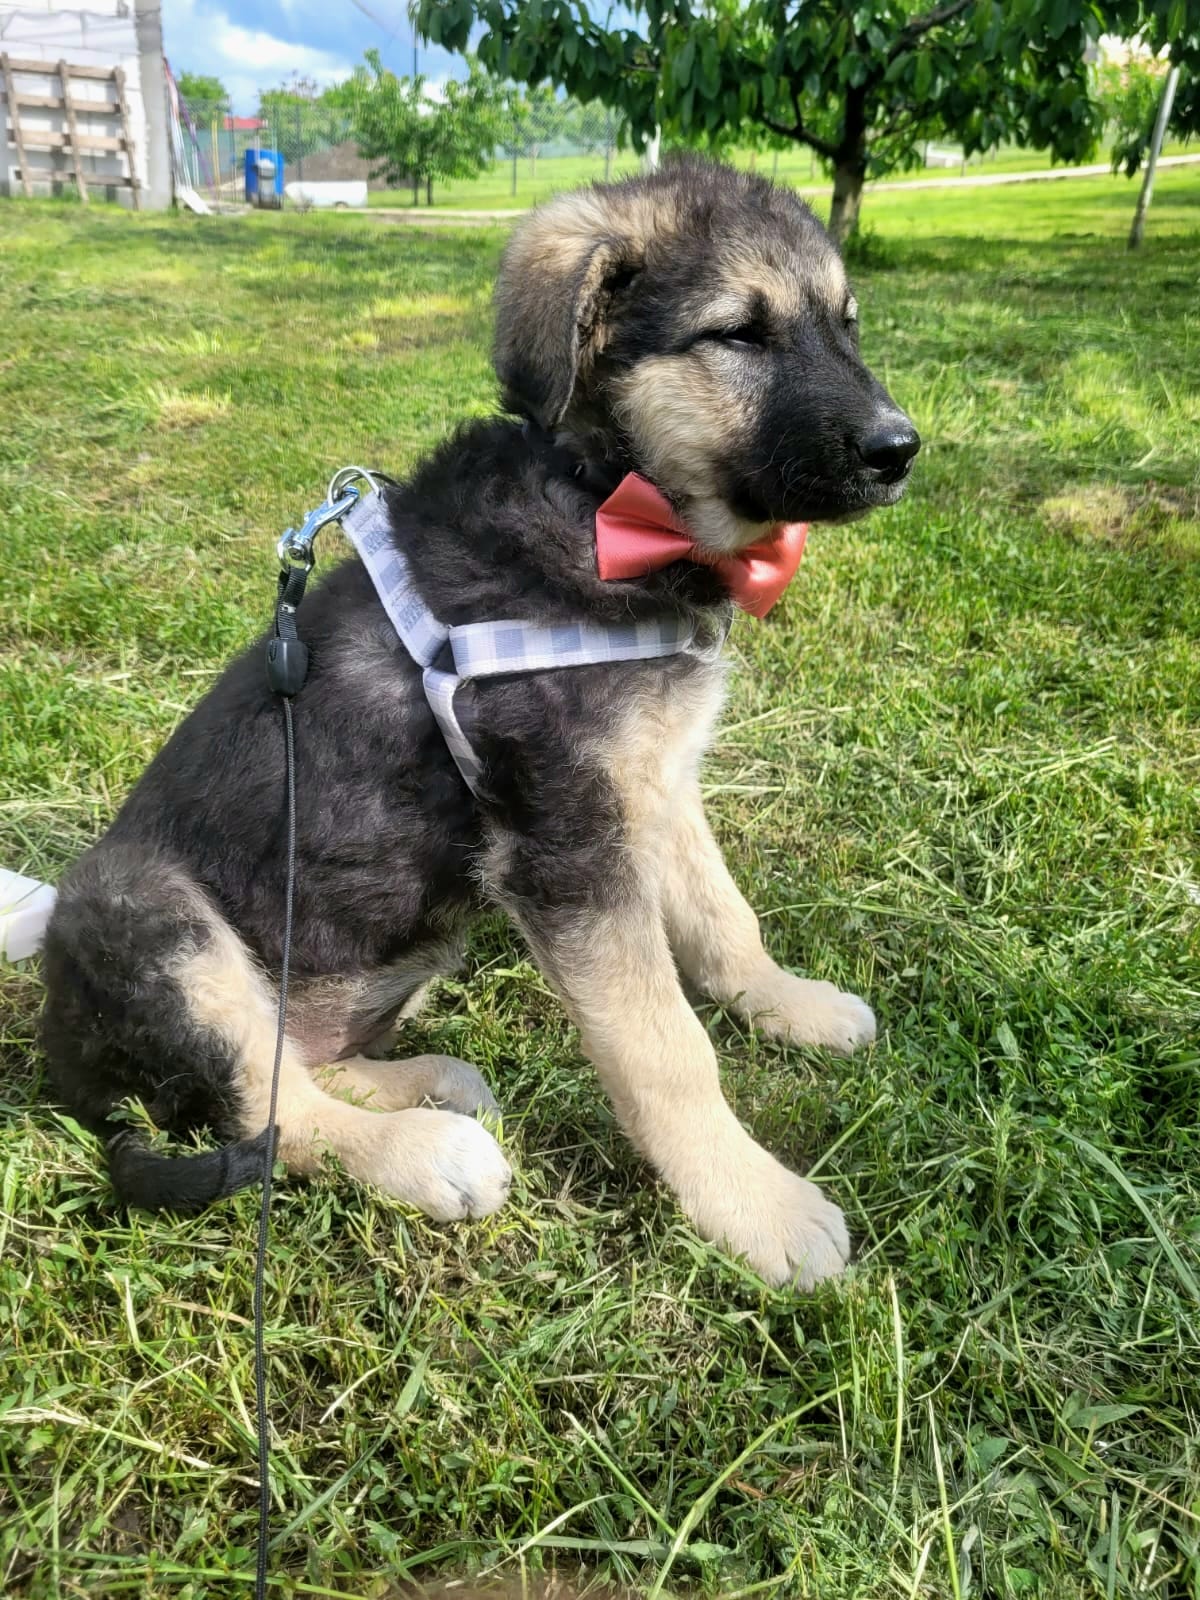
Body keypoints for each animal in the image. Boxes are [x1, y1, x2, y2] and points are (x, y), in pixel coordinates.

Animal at [40, 157, 918, 1289]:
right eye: (738, 334)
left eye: (846, 323)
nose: (901, 450)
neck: (600, 502)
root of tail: (64, 1063)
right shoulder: (566, 843)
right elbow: (666, 1046)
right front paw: (753, 1206)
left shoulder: (654, 786)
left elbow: (726, 920)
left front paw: (790, 1004)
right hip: (145, 913)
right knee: (268, 1111)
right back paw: (427, 1155)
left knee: (299, 1066)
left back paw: (429, 1083)